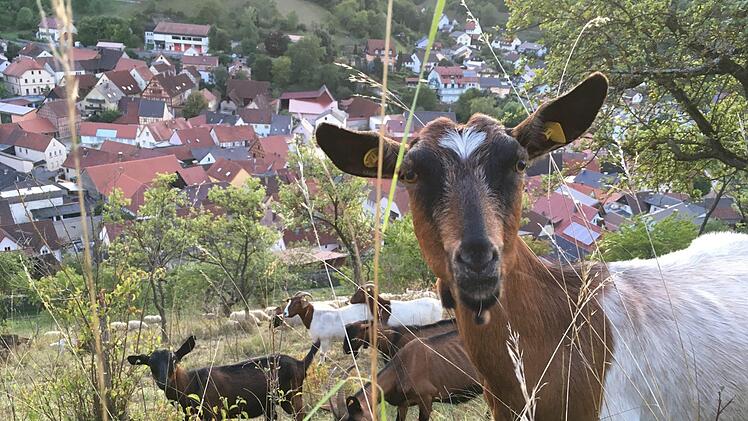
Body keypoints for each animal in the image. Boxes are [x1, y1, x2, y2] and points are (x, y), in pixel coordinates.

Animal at [128, 336, 320, 420]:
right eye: (150, 364)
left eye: (174, 360)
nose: (163, 382)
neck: (191, 384)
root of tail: (300, 363)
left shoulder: (215, 412)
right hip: (272, 403)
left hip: (292, 396)